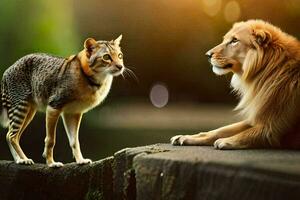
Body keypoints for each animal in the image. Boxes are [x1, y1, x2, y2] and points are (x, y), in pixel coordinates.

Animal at [170, 19, 300, 149]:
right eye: (225, 40)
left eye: (234, 40)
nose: (207, 55)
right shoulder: (256, 118)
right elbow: (220, 130)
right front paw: (185, 137)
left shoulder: (272, 128)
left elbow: (247, 134)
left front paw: (225, 141)